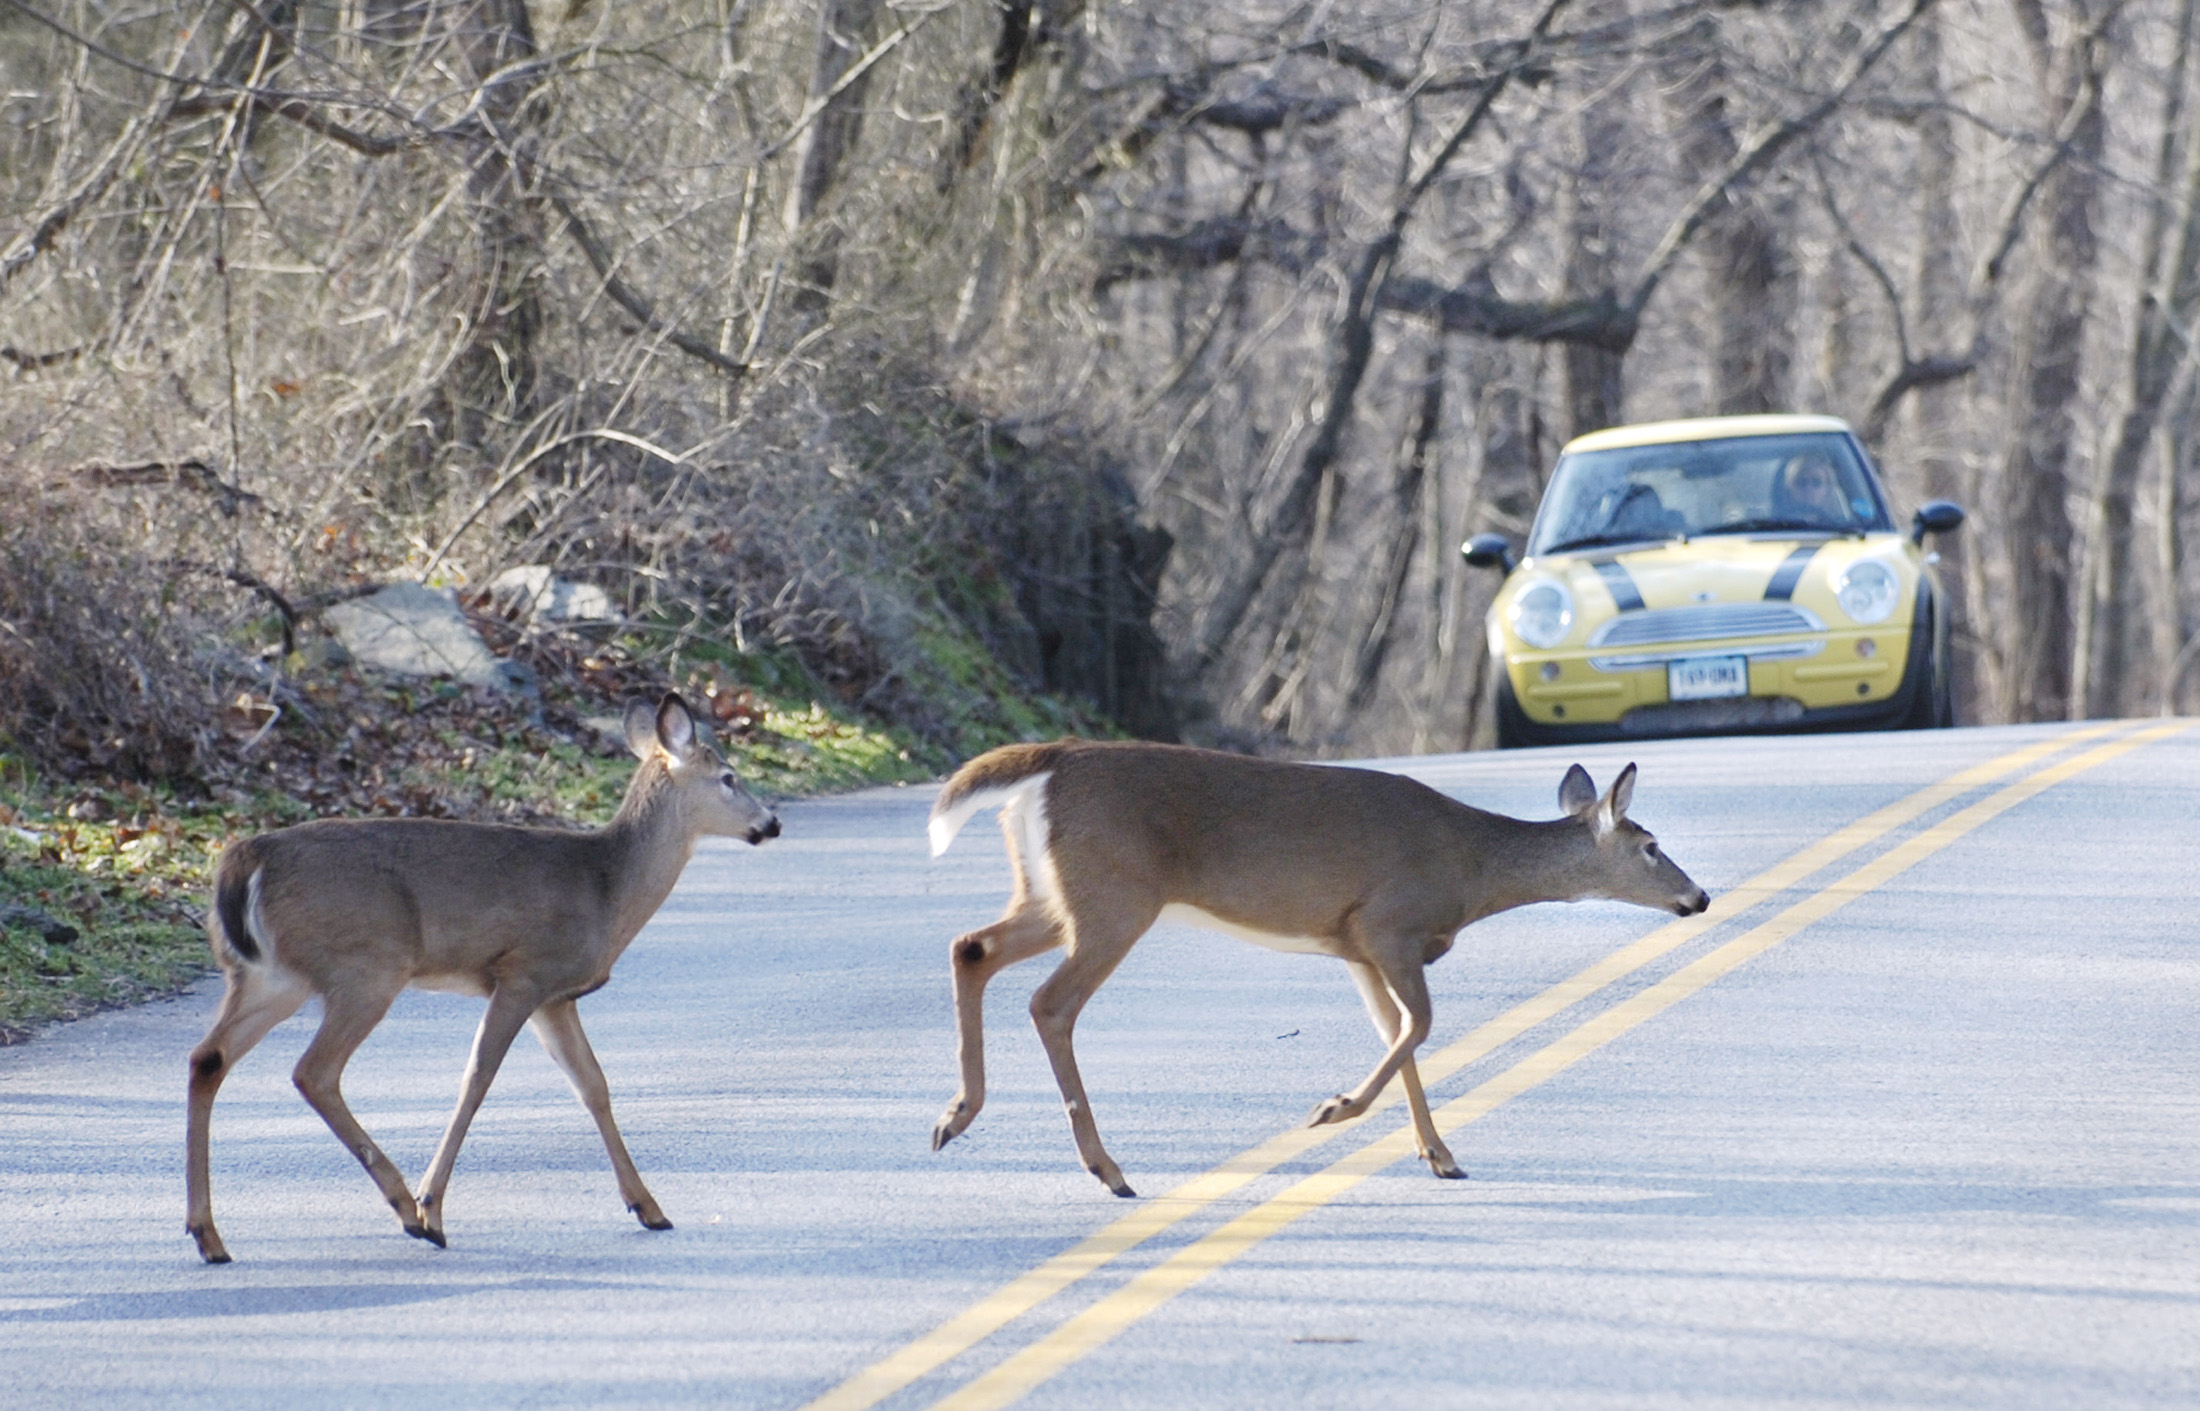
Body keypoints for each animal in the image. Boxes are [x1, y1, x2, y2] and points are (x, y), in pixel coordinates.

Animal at [184, 686, 778, 1259]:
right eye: (729, 778)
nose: (771, 822)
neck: (607, 890)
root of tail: (245, 862)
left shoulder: (556, 996)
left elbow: (593, 1084)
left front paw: (648, 1207)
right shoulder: (522, 972)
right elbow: (478, 1077)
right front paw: (433, 1207)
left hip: (272, 977)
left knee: (208, 1058)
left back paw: (209, 1236)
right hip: (365, 966)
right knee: (313, 1071)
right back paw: (405, 1209)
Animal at [919, 744, 1707, 1197]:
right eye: (1651, 846)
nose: (1698, 896)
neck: (1471, 871)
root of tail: (1048, 765)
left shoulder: (1355, 945)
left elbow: (1397, 1031)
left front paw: (1440, 1154)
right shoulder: (1388, 923)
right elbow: (1420, 1025)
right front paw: (1336, 1109)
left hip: (1056, 895)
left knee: (971, 947)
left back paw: (954, 1116)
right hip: (1114, 896)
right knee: (1050, 1003)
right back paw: (1106, 1169)